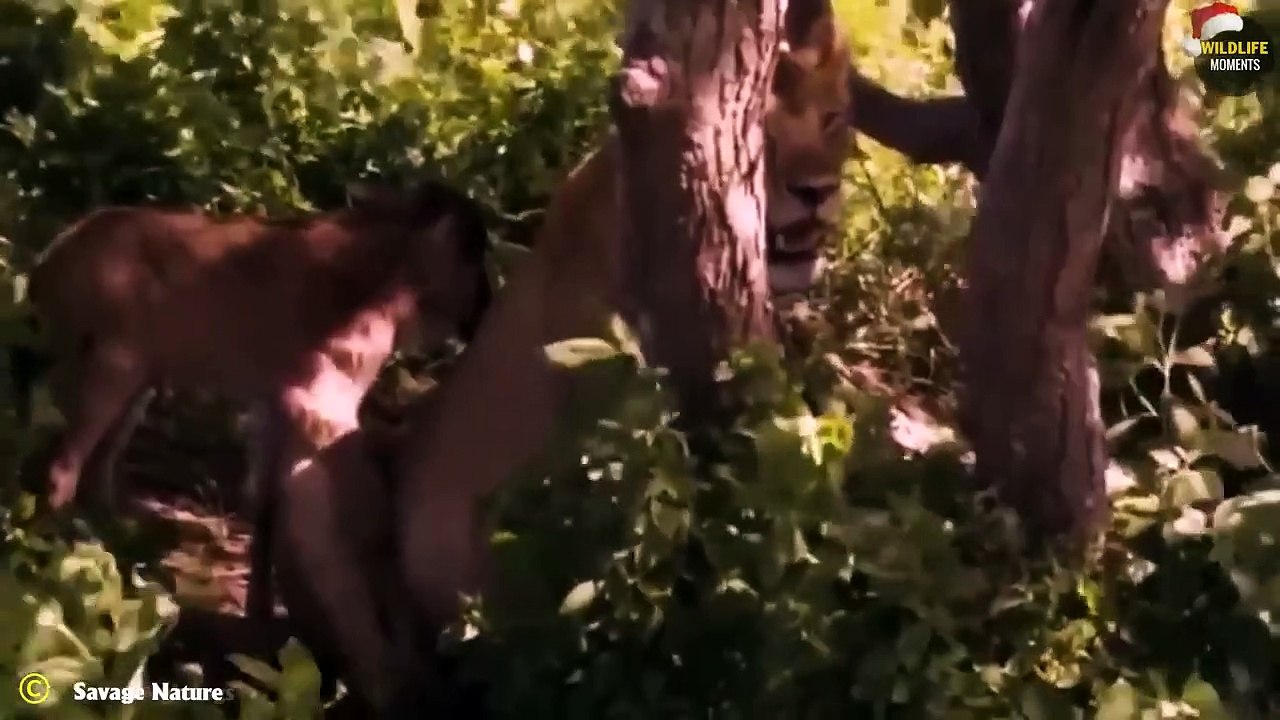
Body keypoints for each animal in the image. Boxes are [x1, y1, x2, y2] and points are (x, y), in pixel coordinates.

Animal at [22, 178, 492, 621]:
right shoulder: (309, 399)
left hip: (134, 378)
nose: (484, 313)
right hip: (114, 364)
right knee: (64, 465)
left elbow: (263, 502)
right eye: (473, 252)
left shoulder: (271, 402)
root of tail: (50, 262)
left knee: (97, 463)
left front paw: (260, 605)